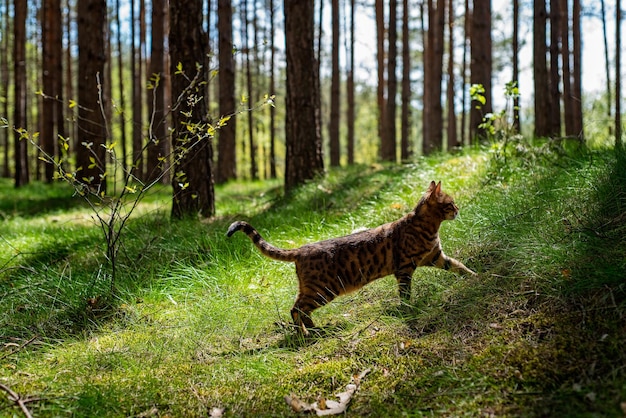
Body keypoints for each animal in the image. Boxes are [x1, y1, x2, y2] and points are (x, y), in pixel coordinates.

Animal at [227, 181, 476, 334]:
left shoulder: (437, 257)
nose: (458, 210)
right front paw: (408, 308)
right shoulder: (405, 269)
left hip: (315, 289)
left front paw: (477, 276)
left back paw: (314, 329)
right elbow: (405, 294)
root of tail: (301, 249)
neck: (426, 226)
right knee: (296, 309)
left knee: (300, 308)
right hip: (323, 289)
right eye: (450, 203)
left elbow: (459, 266)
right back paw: (304, 334)